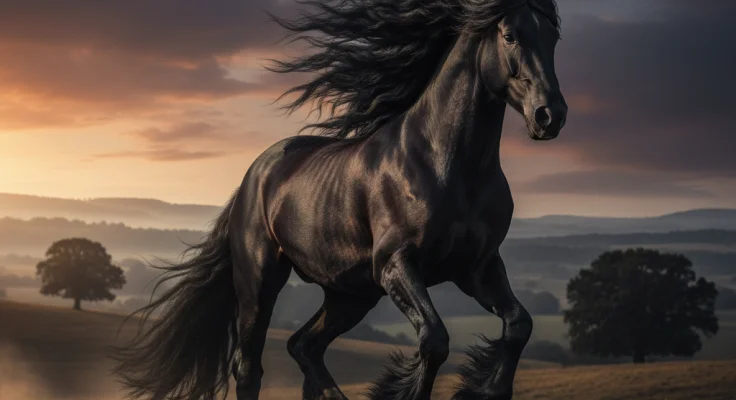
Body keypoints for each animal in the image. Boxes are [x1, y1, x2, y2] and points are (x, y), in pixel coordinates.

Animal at [112, 0, 567, 399]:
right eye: (509, 35)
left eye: (554, 36)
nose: (551, 116)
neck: (446, 163)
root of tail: (253, 176)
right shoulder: (396, 264)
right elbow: (434, 340)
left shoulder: (477, 267)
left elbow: (520, 324)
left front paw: (487, 389)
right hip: (260, 283)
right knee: (250, 367)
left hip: (351, 295)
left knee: (303, 345)